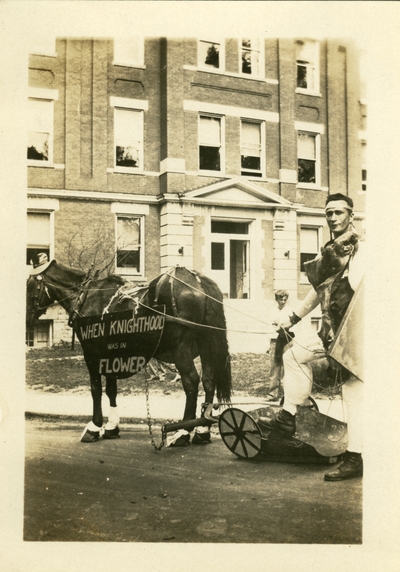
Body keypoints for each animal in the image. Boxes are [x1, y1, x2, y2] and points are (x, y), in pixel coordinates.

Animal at [25, 260, 231, 446]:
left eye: (30, 286)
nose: (27, 319)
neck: (86, 296)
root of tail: (197, 282)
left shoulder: (92, 352)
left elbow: (96, 389)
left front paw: (95, 426)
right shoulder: (110, 353)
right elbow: (111, 389)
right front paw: (111, 426)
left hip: (181, 347)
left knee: (191, 382)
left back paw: (183, 431)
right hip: (206, 342)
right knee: (208, 380)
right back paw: (202, 430)